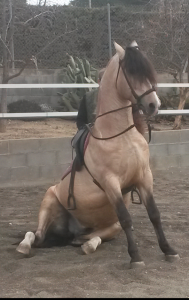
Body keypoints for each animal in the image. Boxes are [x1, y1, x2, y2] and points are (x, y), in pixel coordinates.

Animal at [16, 41, 179, 268]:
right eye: (131, 71)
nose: (154, 105)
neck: (121, 136)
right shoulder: (111, 183)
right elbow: (126, 217)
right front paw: (136, 257)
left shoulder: (144, 177)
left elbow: (154, 214)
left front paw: (168, 250)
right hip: (49, 202)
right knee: (35, 235)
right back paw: (24, 247)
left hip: (106, 227)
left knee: (89, 237)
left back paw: (86, 244)